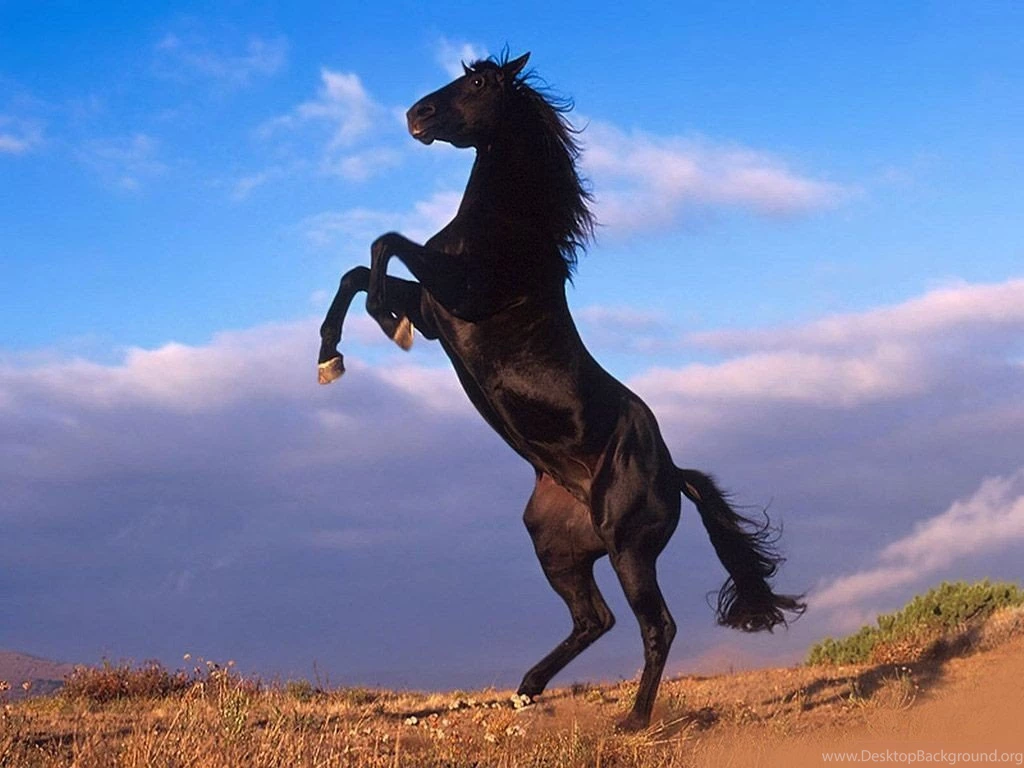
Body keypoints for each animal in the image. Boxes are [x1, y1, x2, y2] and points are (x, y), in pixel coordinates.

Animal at [316, 51, 805, 731]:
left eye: (478, 82)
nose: (416, 115)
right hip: (557, 547)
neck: (506, 229)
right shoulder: (440, 312)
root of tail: (674, 472)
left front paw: (386, 327)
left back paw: (633, 720)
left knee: (656, 626)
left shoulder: (459, 294)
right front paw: (330, 356)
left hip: (628, 550)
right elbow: (357, 273)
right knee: (593, 619)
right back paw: (526, 689)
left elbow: (384, 246)